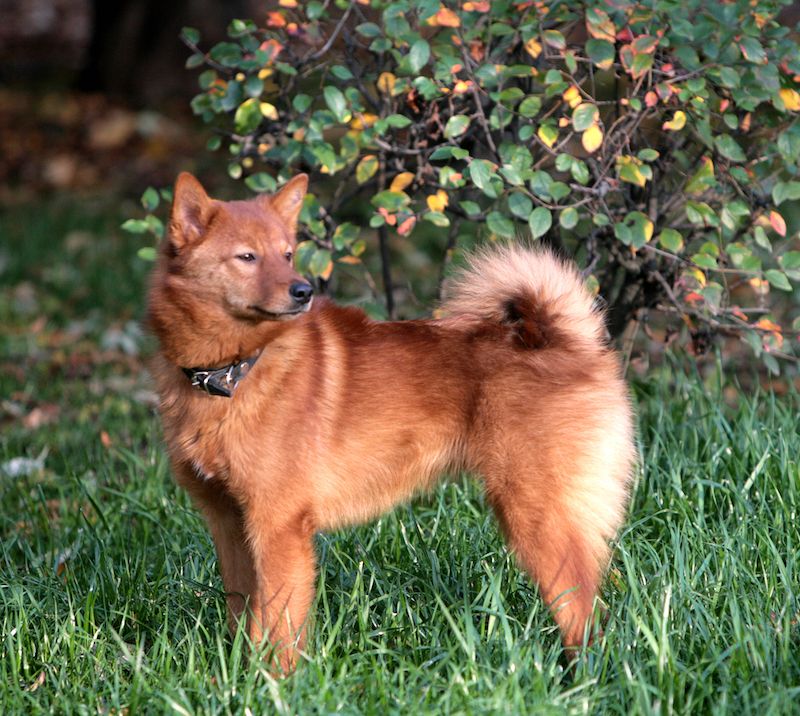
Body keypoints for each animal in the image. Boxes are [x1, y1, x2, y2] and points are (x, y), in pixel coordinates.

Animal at [147, 172, 636, 672]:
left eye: (287, 254)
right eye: (247, 256)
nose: (303, 291)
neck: (232, 372)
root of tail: (568, 342)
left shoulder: (278, 527)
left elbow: (279, 625)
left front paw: (275, 682)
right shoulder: (229, 523)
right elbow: (243, 615)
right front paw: (236, 675)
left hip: (539, 518)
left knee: (584, 612)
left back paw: (584, 675)